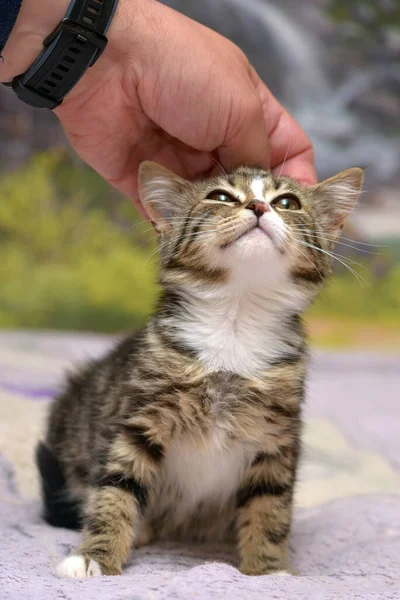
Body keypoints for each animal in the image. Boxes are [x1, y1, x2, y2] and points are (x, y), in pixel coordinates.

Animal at [36, 161, 362, 576]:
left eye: (288, 202)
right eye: (220, 197)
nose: (259, 206)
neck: (235, 325)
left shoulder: (277, 436)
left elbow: (269, 505)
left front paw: (268, 569)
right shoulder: (136, 418)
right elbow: (116, 488)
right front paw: (96, 556)